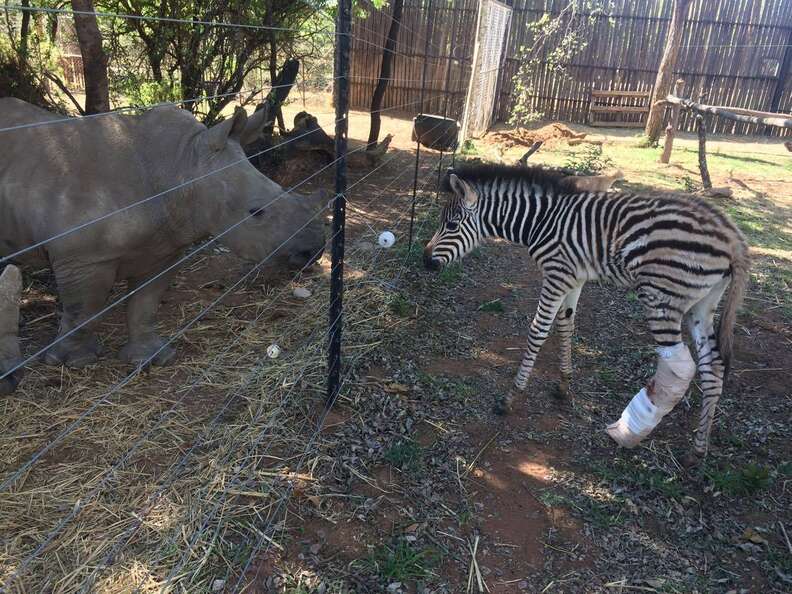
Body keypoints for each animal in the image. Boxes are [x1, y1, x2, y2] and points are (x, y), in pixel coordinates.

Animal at [0, 99, 326, 372]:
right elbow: (83, 309)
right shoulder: (84, 257)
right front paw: (75, 362)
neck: (182, 167)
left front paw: (152, 358)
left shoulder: (164, 247)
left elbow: (146, 303)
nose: (315, 250)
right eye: (256, 212)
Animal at [420, 162, 748, 458]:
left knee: (681, 367)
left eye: (451, 225)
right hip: (702, 305)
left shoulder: (556, 273)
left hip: (661, 296)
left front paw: (511, 397)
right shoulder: (573, 277)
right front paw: (563, 386)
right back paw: (699, 446)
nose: (424, 261)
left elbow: (539, 330)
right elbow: (566, 324)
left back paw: (629, 431)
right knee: (713, 366)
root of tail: (732, 236)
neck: (540, 222)